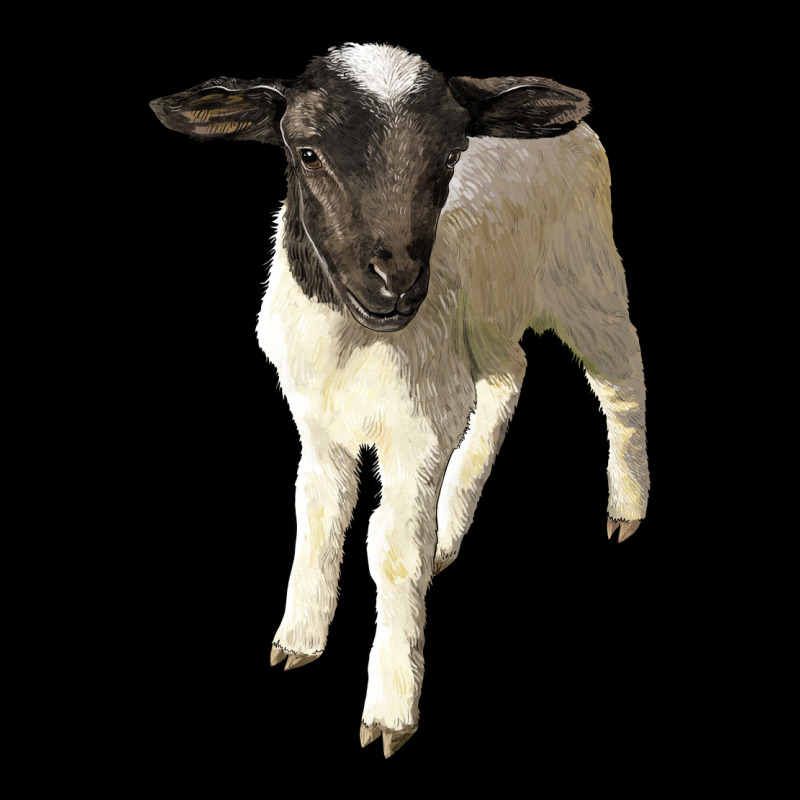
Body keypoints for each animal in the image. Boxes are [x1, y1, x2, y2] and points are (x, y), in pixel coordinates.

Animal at [150, 42, 649, 758]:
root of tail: (572, 123)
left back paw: (627, 507)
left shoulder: (417, 432)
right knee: (509, 376)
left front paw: (390, 709)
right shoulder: (318, 423)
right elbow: (318, 515)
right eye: (306, 151)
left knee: (620, 376)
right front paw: (297, 640)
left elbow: (391, 551)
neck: (352, 343)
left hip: (585, 272)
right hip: (484, 319)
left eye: (450, 155)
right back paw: (452, 527)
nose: (396, 285)